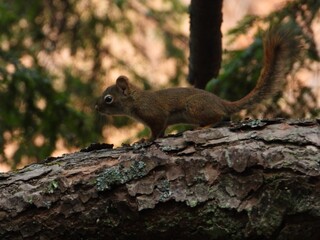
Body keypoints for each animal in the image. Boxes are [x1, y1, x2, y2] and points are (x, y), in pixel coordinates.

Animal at [94, 27, 298, 141]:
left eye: (108, 98)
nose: (96, 108)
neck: (136, 101)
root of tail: (221, 102)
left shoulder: (155, 113)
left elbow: (157, 129)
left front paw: (145, 140)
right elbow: (162, 130)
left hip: (194, 106)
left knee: (218, 117)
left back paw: (204, 127)